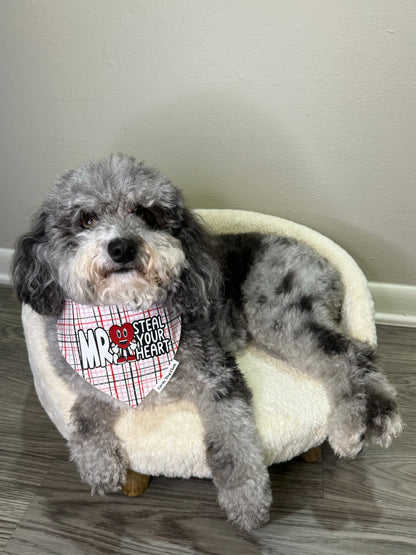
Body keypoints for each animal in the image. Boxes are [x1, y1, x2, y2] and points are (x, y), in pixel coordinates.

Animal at [12, 153, 404, 528]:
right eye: (86, 219)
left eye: (146, 214)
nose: (122, 247)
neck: (125, 322)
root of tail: (321, 261)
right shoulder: (91, 385)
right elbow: (82, 418)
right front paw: (98, 467)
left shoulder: (218, 380)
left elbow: (233, 446)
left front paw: (248, 504)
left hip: (280, 316)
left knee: (353, 355)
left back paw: (364, 424)